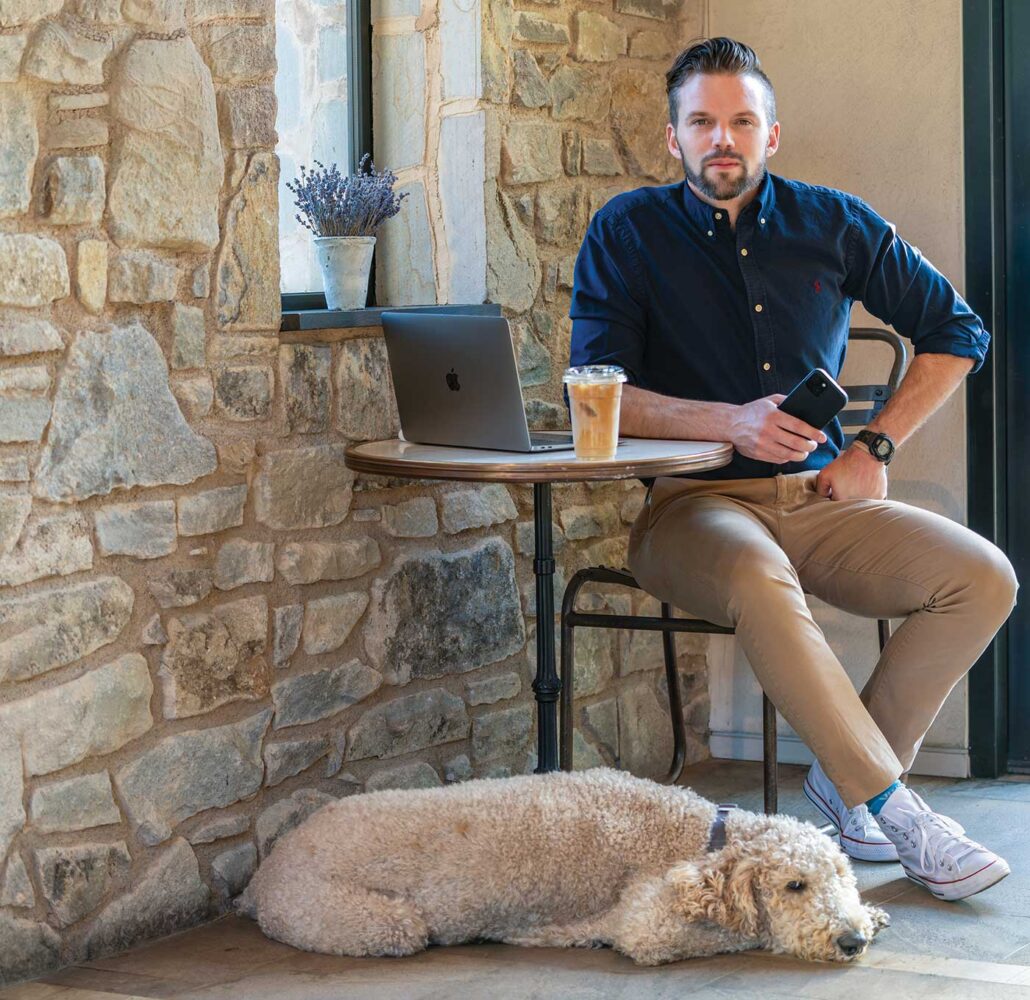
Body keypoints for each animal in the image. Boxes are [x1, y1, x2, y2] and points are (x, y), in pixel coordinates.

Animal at [236, 766, 889, 968]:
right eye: (794, 885)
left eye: (840, 877)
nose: (850, 941)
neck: (702, 834)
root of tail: (262, 876)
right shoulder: (648, 923)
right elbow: (733, 933)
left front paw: (873, 914)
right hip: (366, 918)